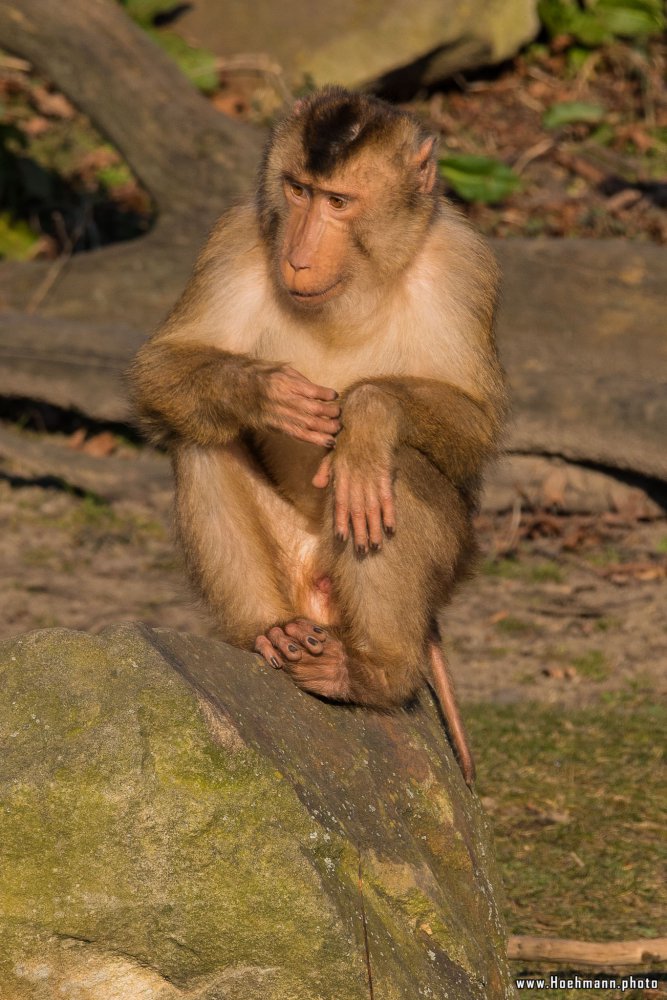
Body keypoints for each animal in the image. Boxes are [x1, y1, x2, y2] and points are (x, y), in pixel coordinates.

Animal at [129, 86, 506, 784]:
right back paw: (270, 632)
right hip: (298, 581)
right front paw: (264, 392)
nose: (299, 255)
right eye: (299, 190)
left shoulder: (465, 265)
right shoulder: (237, 237)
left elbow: (476, 426)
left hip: (432, 574)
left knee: (388, 477)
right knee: (200, 440)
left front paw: (367, 415)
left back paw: (374, 674)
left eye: (339, 203)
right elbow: (160, 368)